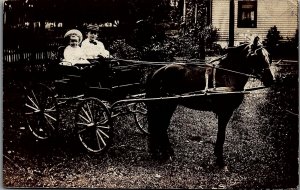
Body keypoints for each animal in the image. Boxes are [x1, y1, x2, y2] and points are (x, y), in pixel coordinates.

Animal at [145, 38, 274, 169]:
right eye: (257, 56)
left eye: (269, 56)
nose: (271, 80)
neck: (228, 76)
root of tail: (156, 72)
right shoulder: (225, 112)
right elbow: (221, 135)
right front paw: (220, 161)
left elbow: (221, 134)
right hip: (167, 104)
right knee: (161, 127)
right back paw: (165, 153)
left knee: (159, 126)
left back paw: (163, 151)